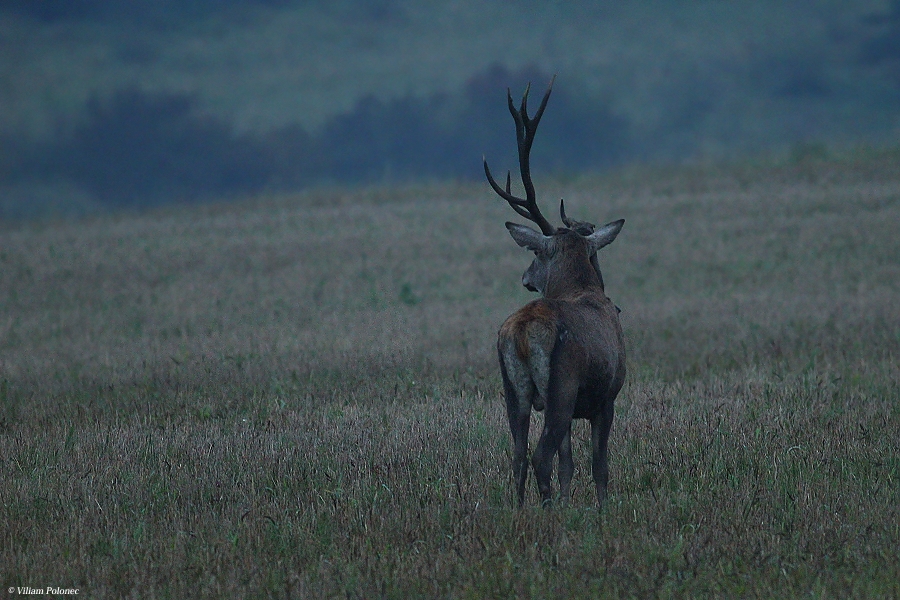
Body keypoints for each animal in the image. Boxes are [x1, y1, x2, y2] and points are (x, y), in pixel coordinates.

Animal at [486, 75, 624, 506]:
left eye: (535, 254)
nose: (525, 278)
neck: (581, 289)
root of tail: (521, 333)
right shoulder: (606, 397)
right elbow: (598, 466)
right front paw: (601, 510)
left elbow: (569, 465)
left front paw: (567, 504)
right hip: (561, 387)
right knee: (538, 456)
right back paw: (545, 513)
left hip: (513, 390)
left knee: (517, 455)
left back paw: (522, 511)